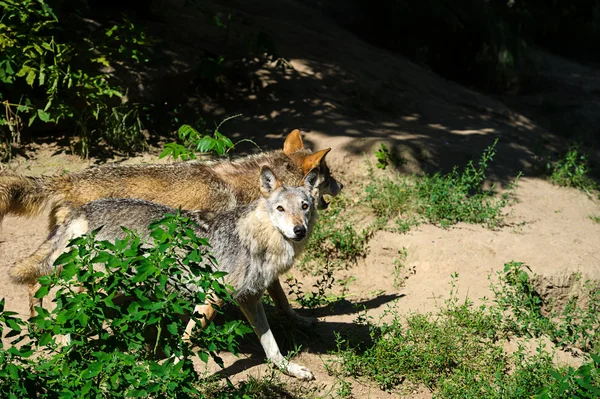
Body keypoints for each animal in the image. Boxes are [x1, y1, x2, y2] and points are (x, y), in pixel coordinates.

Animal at [2, 130, 342, 320]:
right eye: (328, 175)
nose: (342, 186)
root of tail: (69, 178)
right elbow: (279, 294)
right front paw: (299, 320)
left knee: (35, 282)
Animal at [21, 166, 322, 382]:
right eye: (280, 208)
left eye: (305, 206)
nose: (299, 230)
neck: (256, 240)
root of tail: (82, 210)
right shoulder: (211, 297)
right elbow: (185, 342)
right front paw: (170, 373)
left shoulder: (249, 298)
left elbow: (271, 345)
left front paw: (290, 369)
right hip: (98, 287)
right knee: (62, 307)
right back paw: (62, 353)